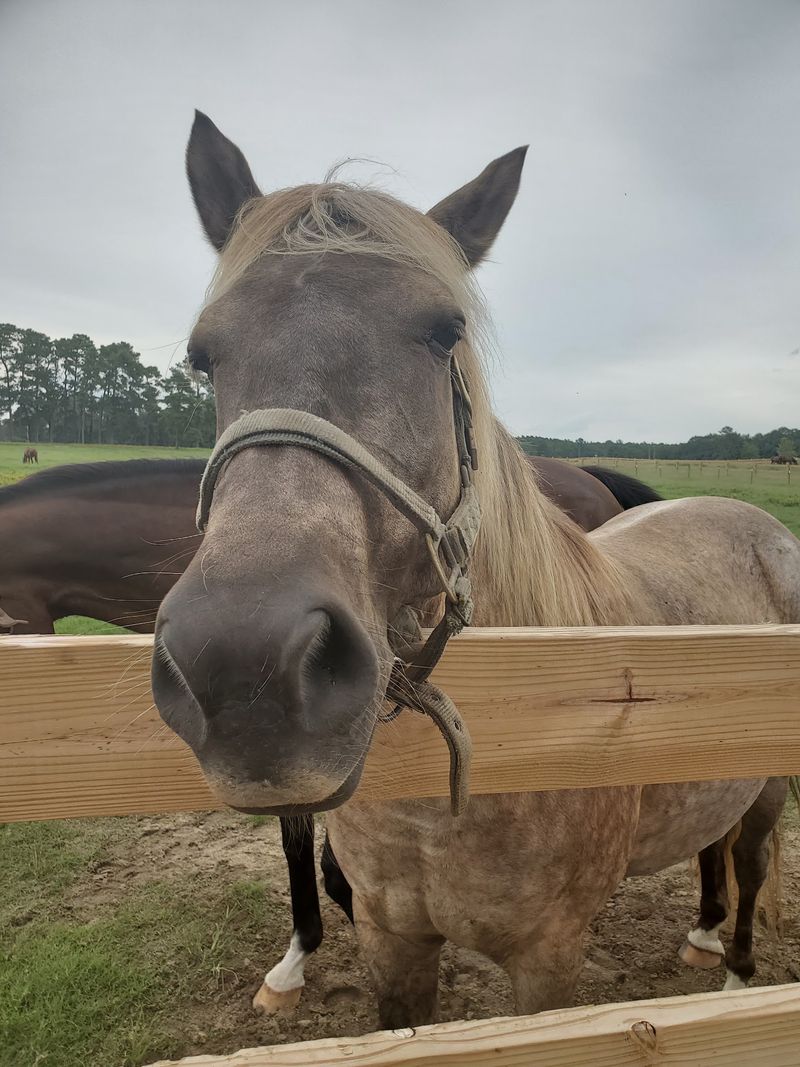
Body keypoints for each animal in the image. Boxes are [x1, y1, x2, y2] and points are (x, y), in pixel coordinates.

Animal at [150, 112, 800, 1027]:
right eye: (203, 355)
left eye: (443, 332)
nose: (244, 666)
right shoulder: (393, 941)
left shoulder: (548, 962)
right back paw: (703, 936)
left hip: (771, 782)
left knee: (749, 858)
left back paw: (737, 972)